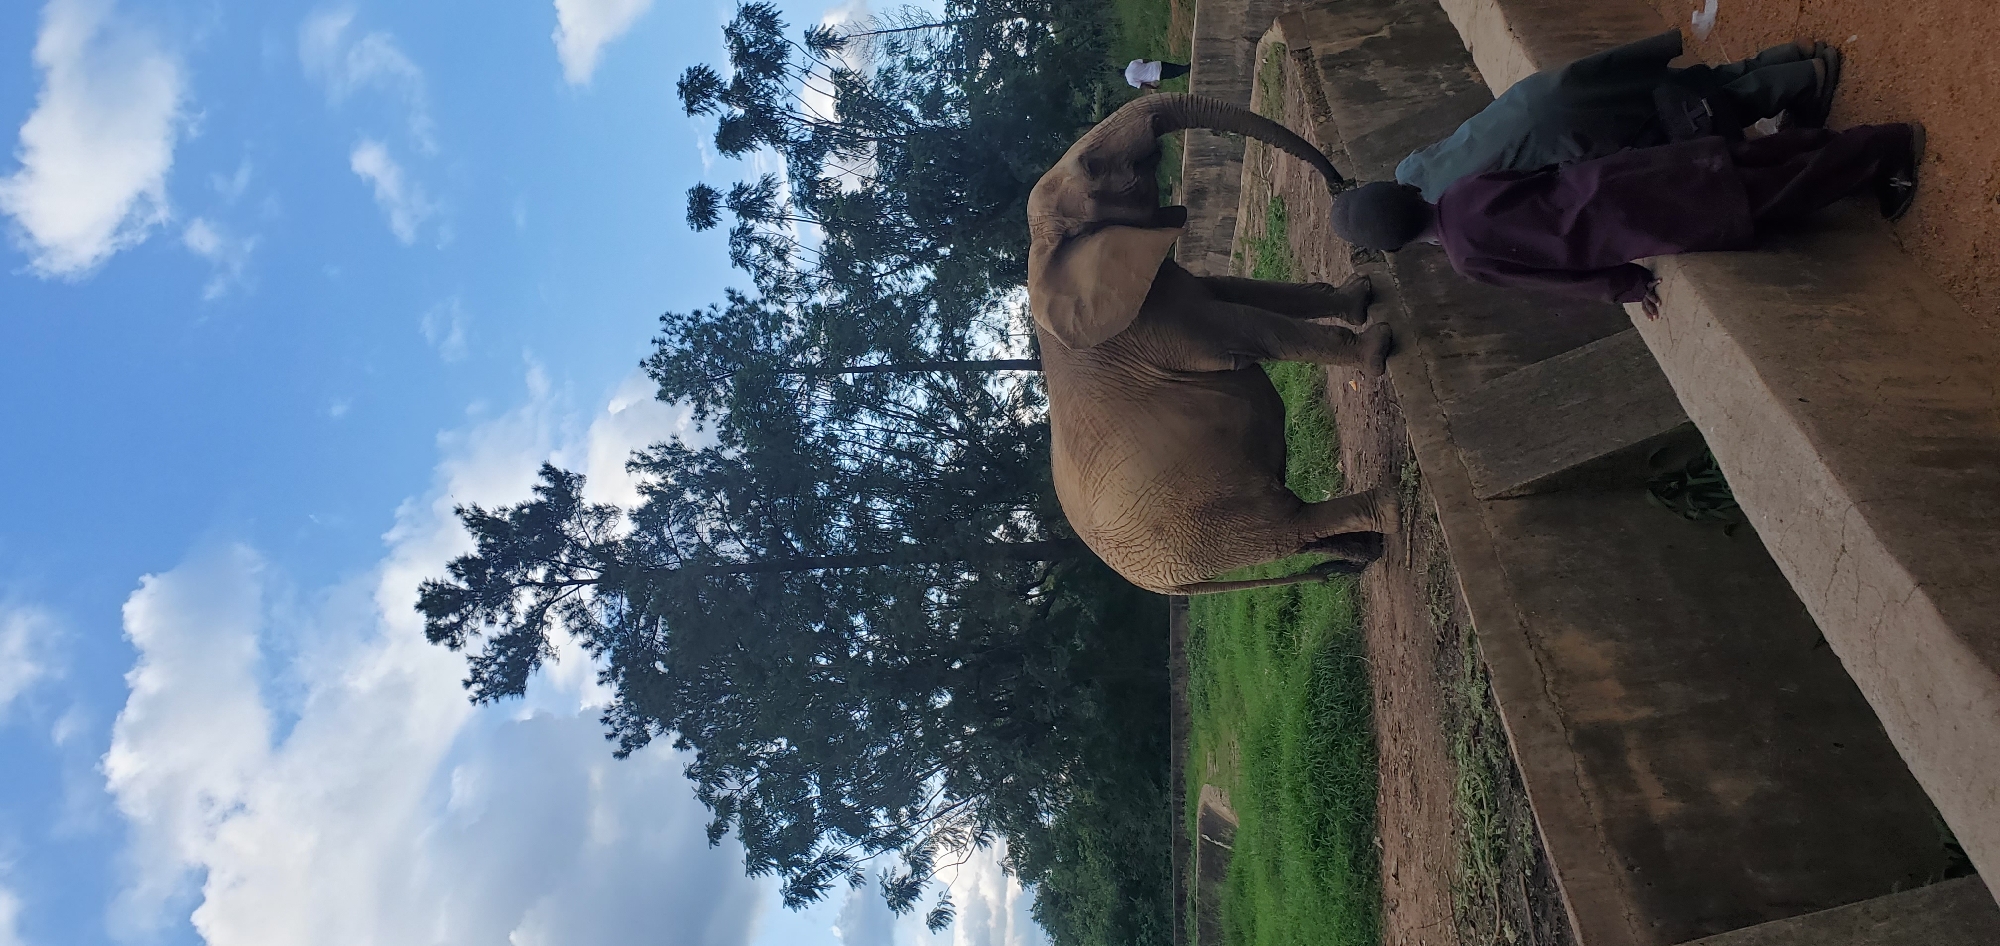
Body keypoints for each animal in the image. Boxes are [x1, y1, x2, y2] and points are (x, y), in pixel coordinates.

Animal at [1026, 92, 1400, 596]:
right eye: (1094, 166)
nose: (1340, 183)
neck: (1042, 250)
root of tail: (1160, 586)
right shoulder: (1148, 325)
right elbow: (1246, 328)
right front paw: (1377, 344)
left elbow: (1242, 290)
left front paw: (1360, 297)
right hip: (1197, 527)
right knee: (1288, 526)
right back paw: (1392, 506)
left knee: (1294, 530)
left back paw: (1367, 551)